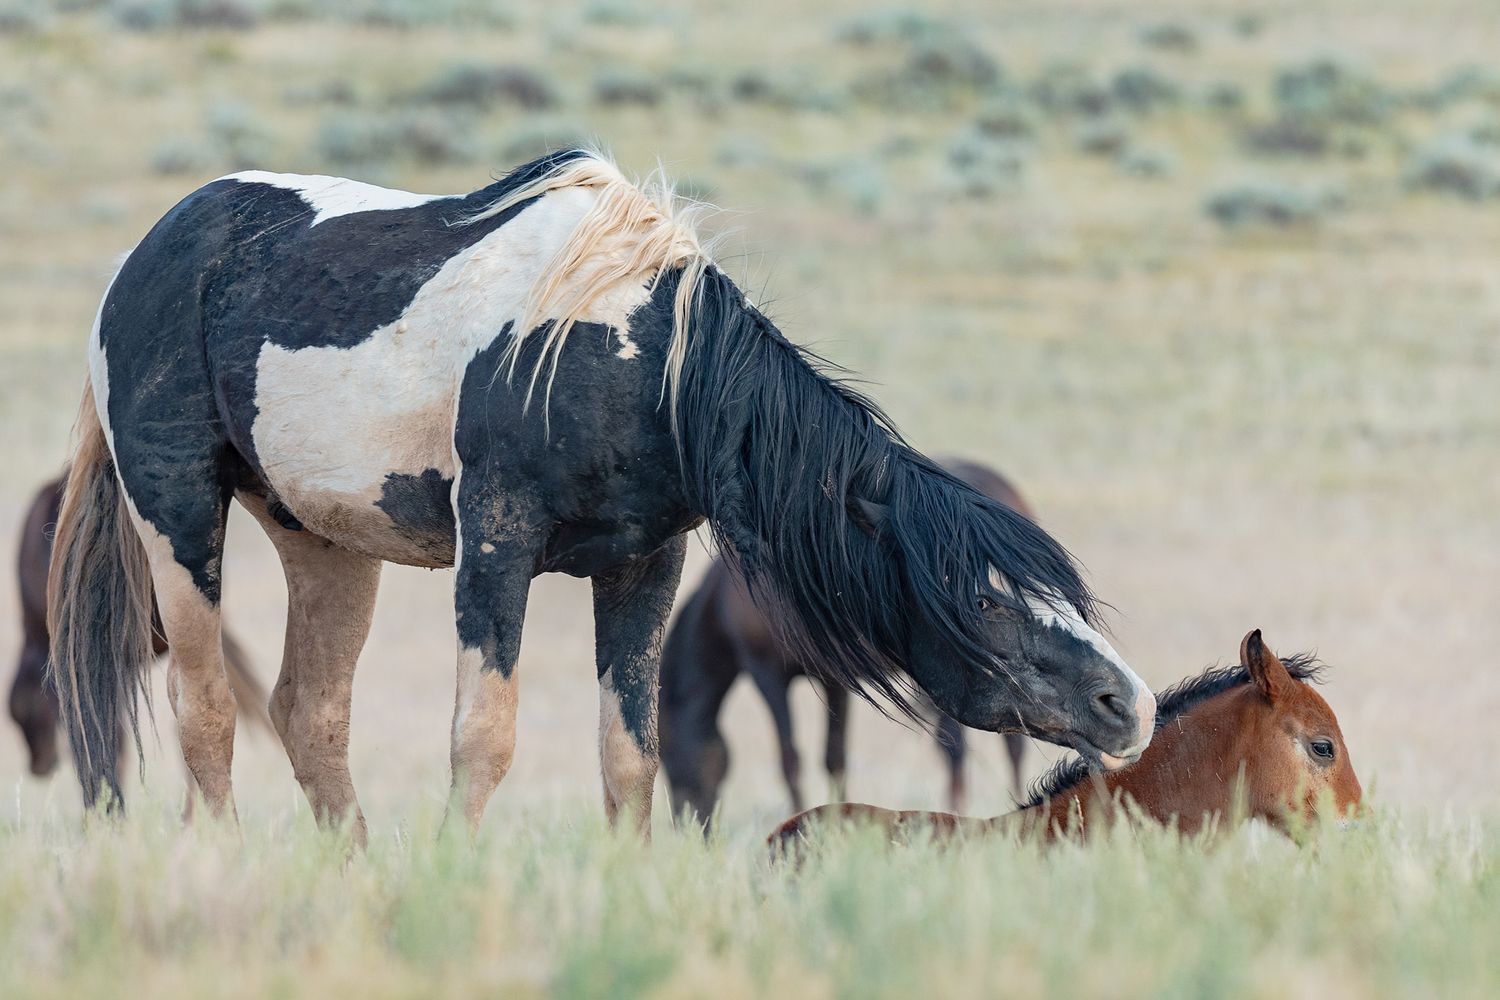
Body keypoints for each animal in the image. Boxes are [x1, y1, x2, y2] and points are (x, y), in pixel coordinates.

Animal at [660, 458, 1030, 824]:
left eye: (669, 756)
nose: (689, 823)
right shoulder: (832, 680)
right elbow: (833, 757)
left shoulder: (766, 673)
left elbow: (791, 759)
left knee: (965, 747)